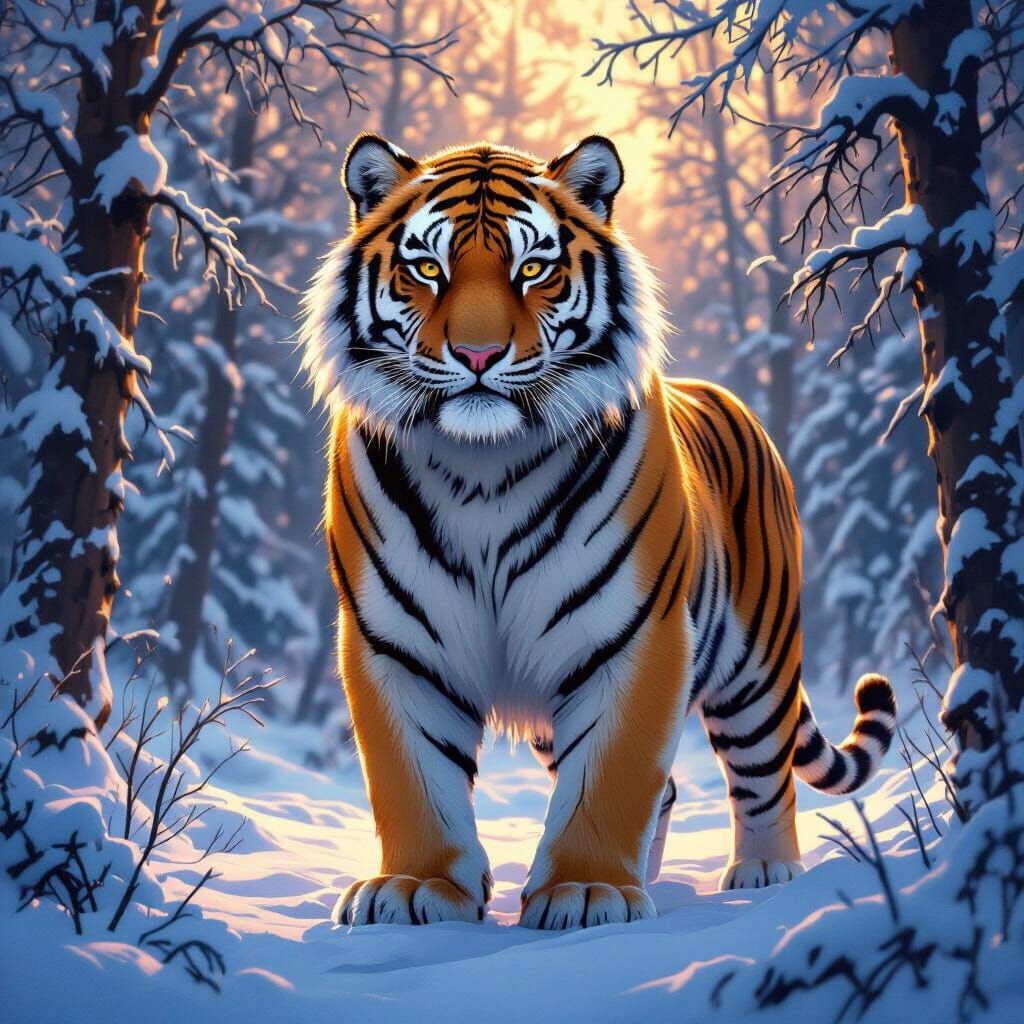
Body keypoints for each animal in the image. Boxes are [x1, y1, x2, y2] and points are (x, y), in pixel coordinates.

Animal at [299, 133, 898, 931]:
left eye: (533, 269)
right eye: (427, 268)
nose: (479, 357)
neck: (482, 469)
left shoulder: (635, 633)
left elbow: (612, 774)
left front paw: (587, 893)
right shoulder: (395, 642)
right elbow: (413, 776)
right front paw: (417, 887)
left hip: (757, 665)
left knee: (765, 774)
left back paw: (765, 874)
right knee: (671, 788)